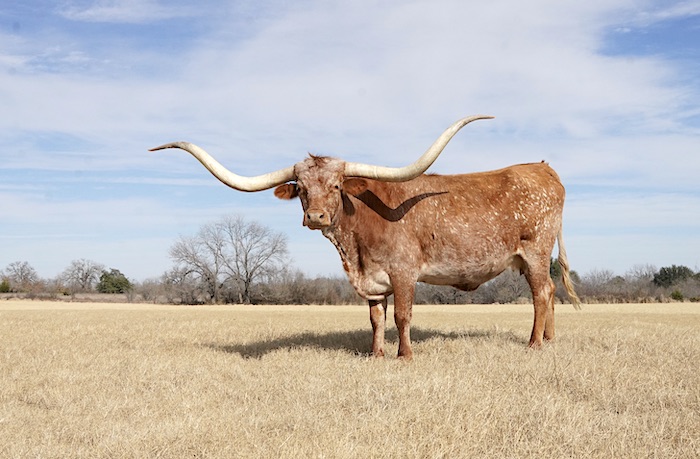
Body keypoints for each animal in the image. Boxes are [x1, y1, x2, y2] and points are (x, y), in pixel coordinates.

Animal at [152, 115, 580, 360]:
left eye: (337, 185)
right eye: (301, 188)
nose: (316, 216)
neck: (354, 248)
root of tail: (544, 169)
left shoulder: (404, 272)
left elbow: (404, 315)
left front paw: (404, 356)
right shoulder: (372, 280)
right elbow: (376, 318)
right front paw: (375, 355)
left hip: (536, 252)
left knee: (542, 294)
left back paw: (534, 344)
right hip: (525, 259)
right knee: (550, 294)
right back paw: (550, 340)